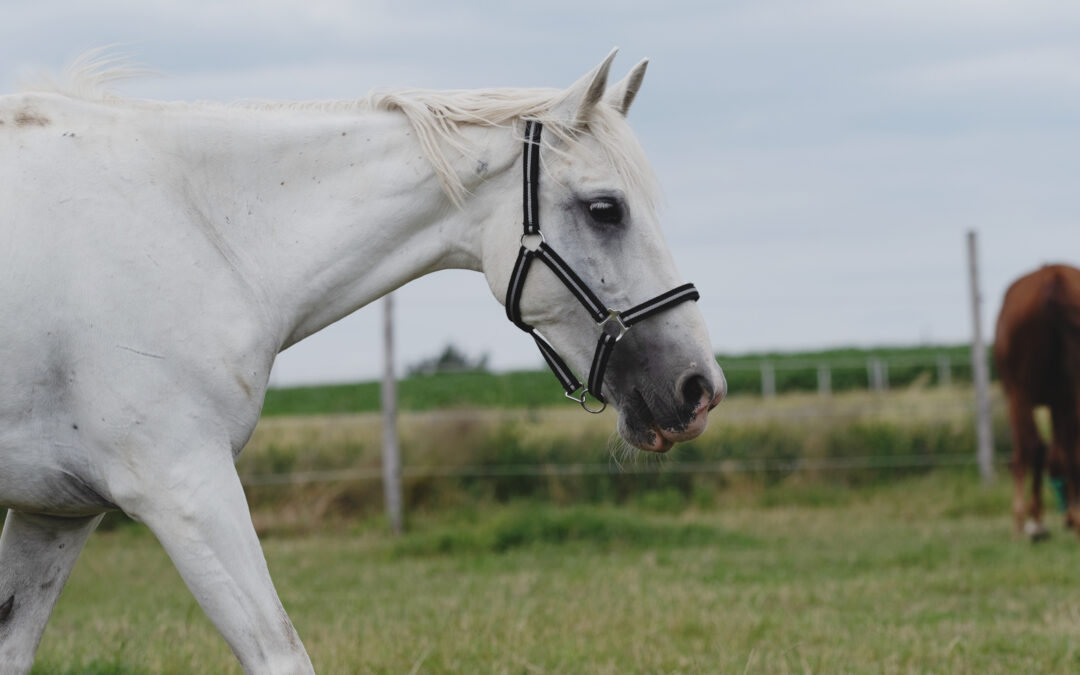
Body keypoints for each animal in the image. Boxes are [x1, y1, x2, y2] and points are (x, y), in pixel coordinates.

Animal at [2, 49, 725, 669]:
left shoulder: (57, 513)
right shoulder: (183, 485)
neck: (198, 225)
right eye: (606, 209)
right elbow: (282, 654)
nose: (700, 388)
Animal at [993, 260, 1080, 540]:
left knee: (1035, 446)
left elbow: (1025, 452)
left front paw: (1026, 519)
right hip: (1069, 391)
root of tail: (1054, 276)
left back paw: (1032, 521)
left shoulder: (1016, 395)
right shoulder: (1060, 401)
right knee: (1068, 448)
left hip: (1022, 391)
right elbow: (1060, 453)